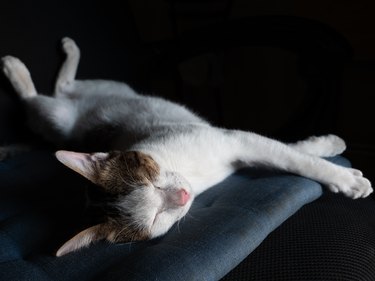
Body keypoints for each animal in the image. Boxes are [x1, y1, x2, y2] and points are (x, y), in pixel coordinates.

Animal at [2, 37, 374, 256]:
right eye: (156, 218)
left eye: (152, 181)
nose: (180, 196)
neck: (191, 174)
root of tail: (73, 125)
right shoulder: (238, 147)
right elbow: (288, 156)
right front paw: (343, 174)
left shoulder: (236, 140)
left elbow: (292, 154)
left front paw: (329, 154)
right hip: (54, 121)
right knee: (38, 100)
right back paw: (16, 69)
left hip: (104, 90)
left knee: (61, 87)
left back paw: (51, 56)